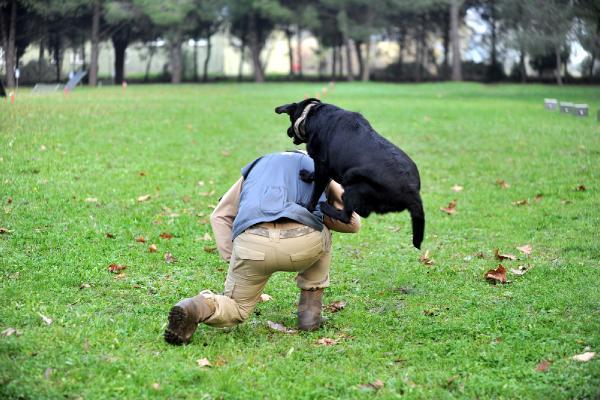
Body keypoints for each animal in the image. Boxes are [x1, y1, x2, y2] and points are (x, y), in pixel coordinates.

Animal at [274, 98, 424, 248]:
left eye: (290, 121)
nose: (288, 131)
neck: (311, 115)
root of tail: (412, 192)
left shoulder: (322, 166)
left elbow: (315, 194)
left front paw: (306, 207)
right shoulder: (325, 168)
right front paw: (306, 175)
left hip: (353, 184)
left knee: (348, 216)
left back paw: (326, 207)